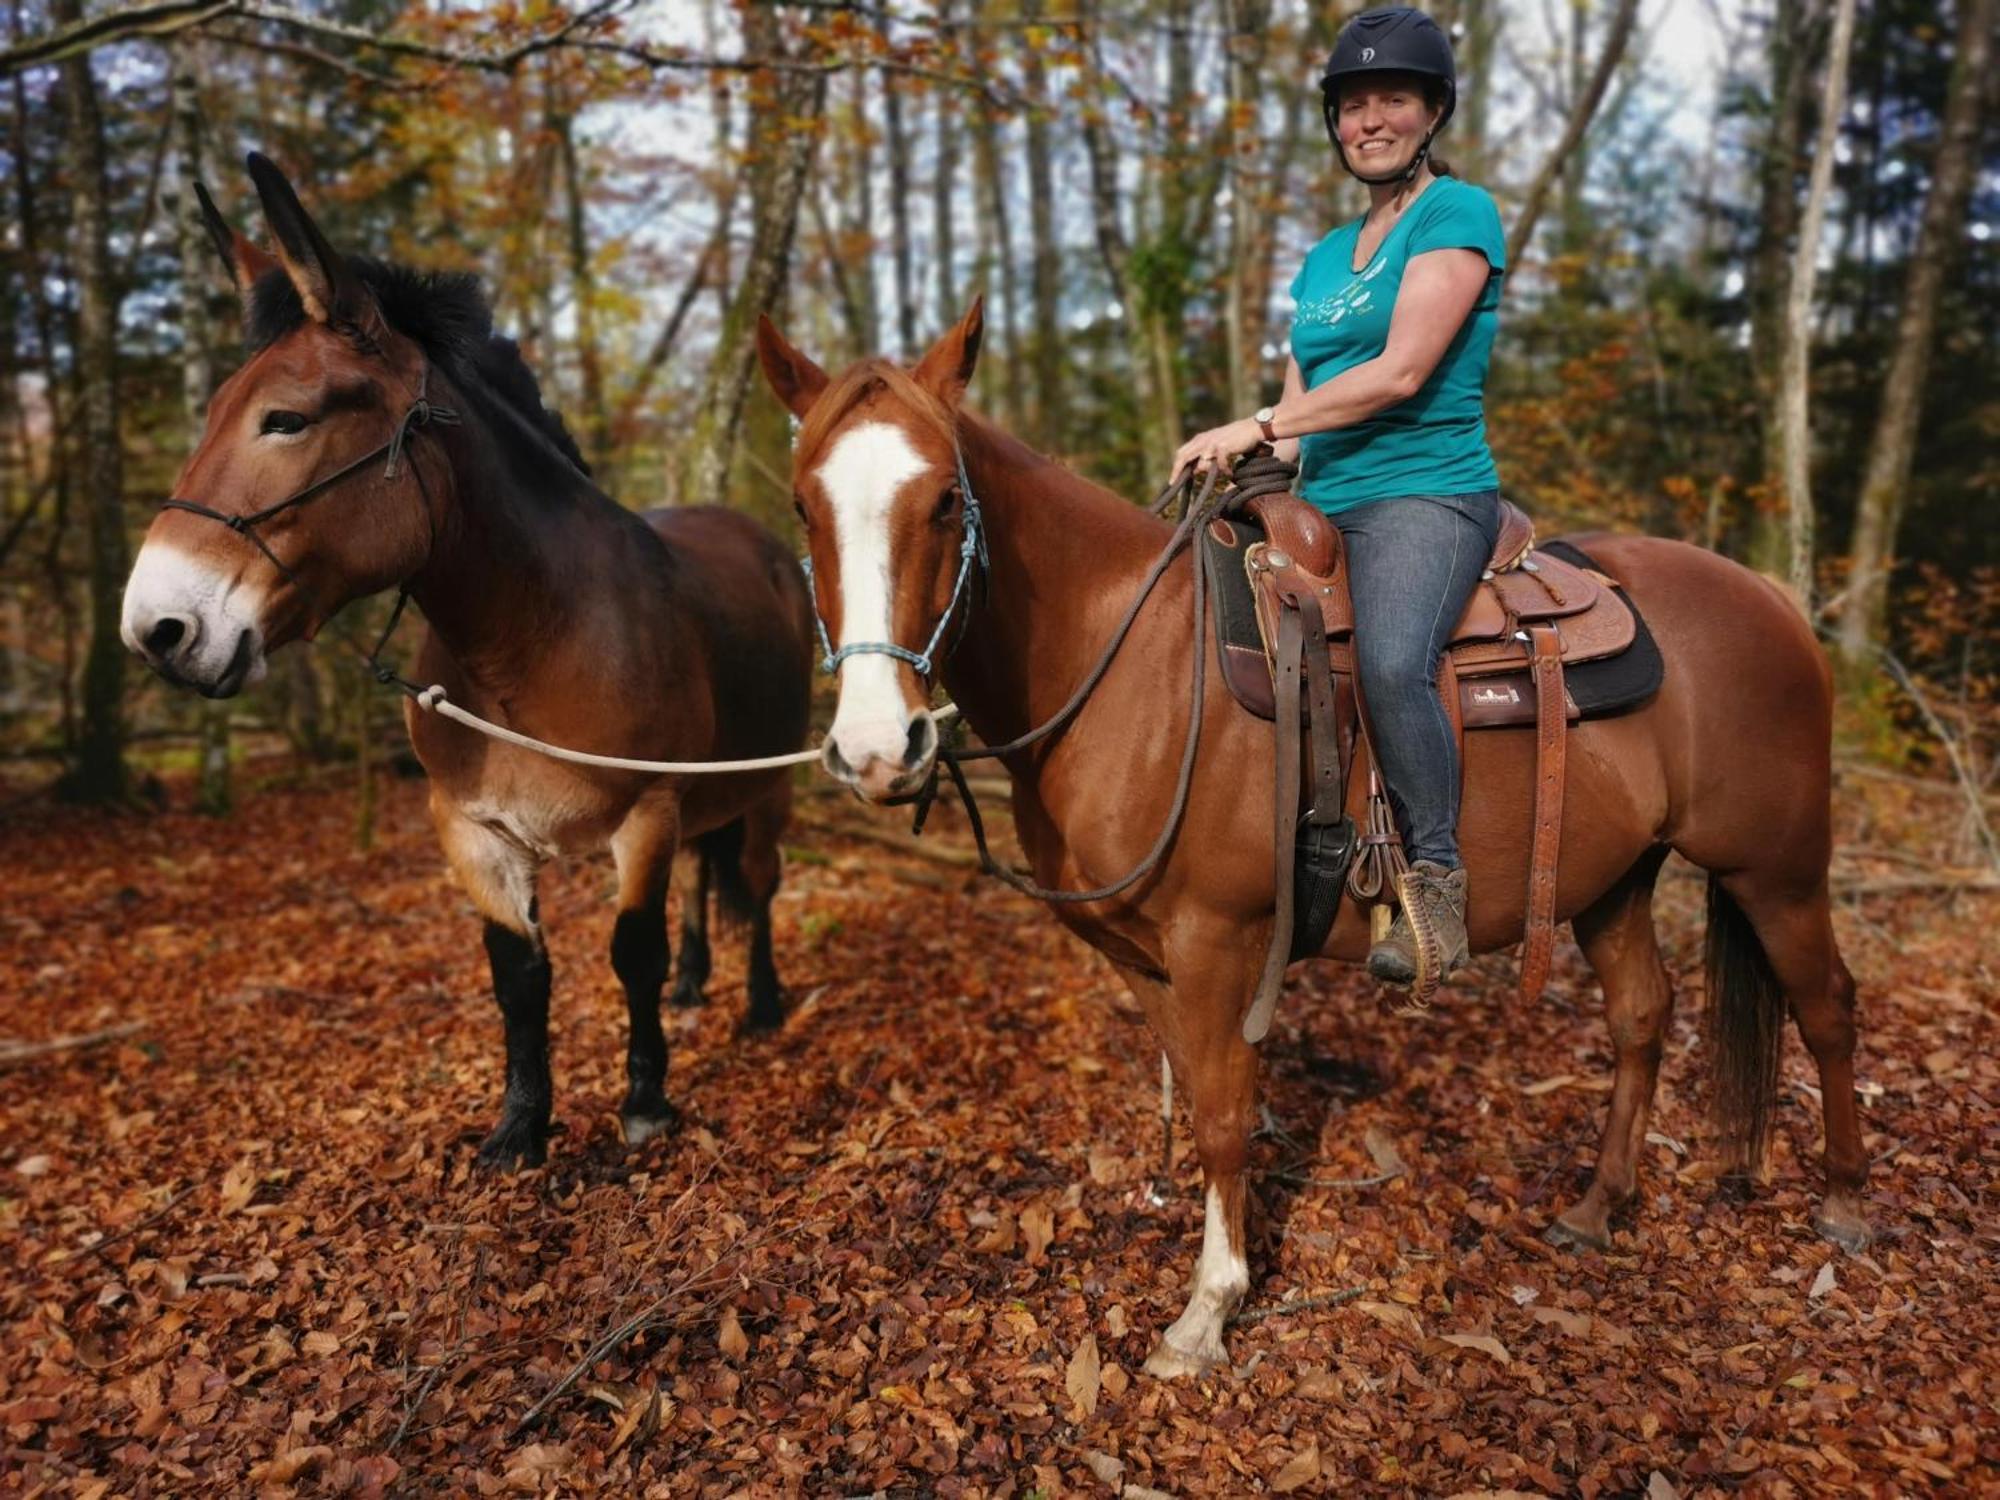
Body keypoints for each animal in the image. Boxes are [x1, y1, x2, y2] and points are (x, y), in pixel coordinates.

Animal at [127, 159, 812, 1176]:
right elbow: (519, 976)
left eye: (284, 419)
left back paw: (760, 1002)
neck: (531, 643)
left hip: (769, 783)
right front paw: (521, 1127)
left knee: (757, 884)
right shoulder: (472, 829)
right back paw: (699, 984)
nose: (156, 627)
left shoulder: (646, 811)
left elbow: (631, 953)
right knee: (705, 872)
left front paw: (645, 1103)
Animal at [756, 306, 1864, 1384]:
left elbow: (1219, 1116)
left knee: (1825, 1005)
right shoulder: (1147, 958)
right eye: (804, 508)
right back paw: (1597, 1208)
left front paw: (1206, 1314)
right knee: (1642, 1015)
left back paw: (1844, 1199)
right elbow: (1202, 1094)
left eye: (946, 501)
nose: (875, 748)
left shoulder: (1219, 941)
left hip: (1775, 870)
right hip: (1615, 879)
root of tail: (1774, 601)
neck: (1137, 664)